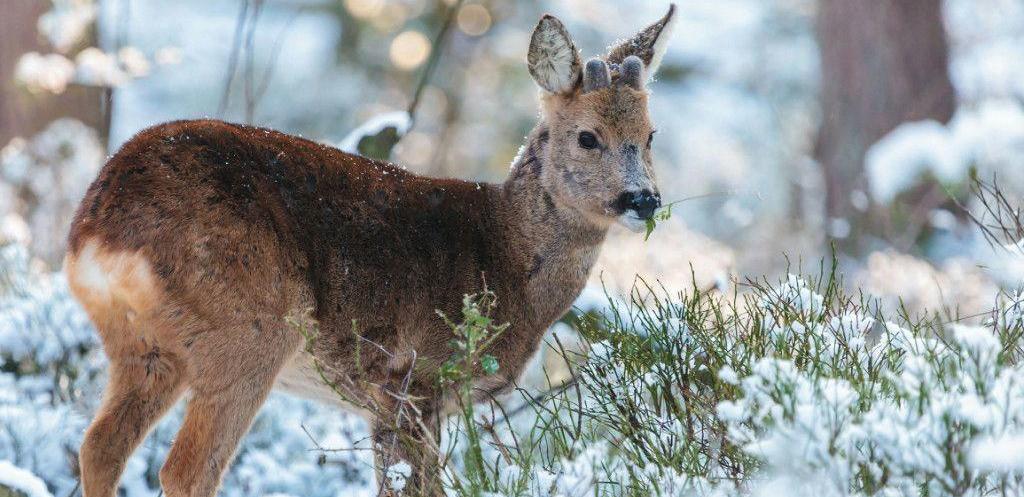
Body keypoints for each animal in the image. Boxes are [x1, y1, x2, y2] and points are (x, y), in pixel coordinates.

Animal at [61, 4, 671, 495]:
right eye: (587, 136)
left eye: (650, 135)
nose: (644, 198)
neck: (506, 257)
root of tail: (99, 226)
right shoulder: (413, 376)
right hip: (246, 328)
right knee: (185, 469)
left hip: (142, 345)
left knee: (98, 448)